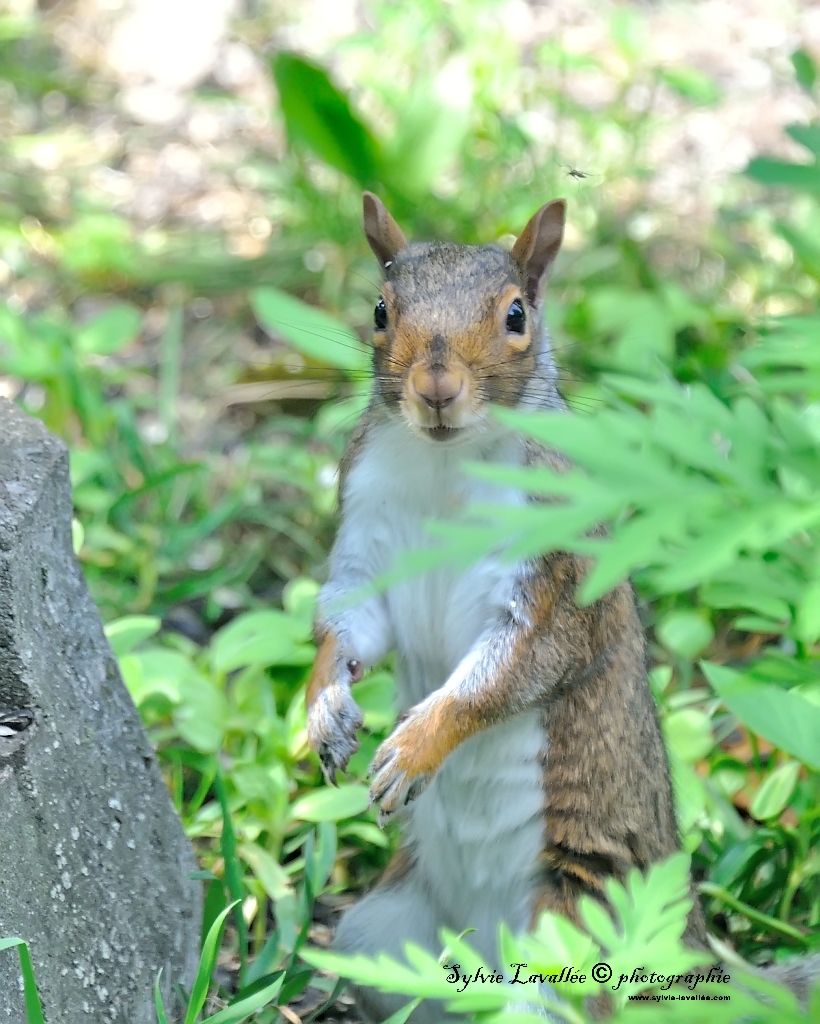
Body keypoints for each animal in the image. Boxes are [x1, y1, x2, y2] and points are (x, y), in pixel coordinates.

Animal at [307, 195, 818, 1019]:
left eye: (517, 315)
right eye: (381, 311)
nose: (436, 389)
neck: (446, 460)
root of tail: (690, 952)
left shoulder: (555, 573)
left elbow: (510, 672)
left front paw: (416, 748)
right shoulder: (365, 533)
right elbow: (351, 623)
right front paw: (325, 706)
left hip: (575, 937)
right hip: (379, 936)